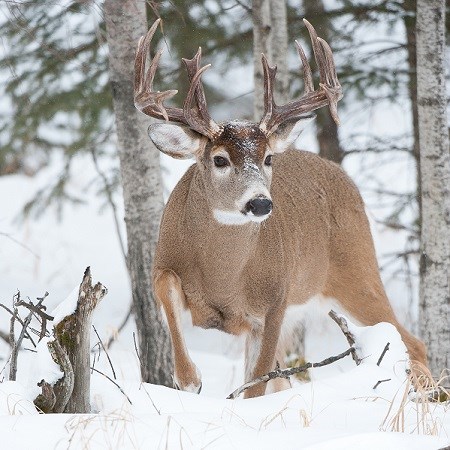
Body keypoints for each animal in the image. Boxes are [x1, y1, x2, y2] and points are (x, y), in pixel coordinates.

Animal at [134, 18, 428, 398]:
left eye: (269, 158)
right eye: (219, 159)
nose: (259, 202)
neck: (222, 278)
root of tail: (345, 179)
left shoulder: (275, 302)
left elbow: (256, 384)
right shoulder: (164, 262)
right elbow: (168, 295)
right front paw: (191, 378)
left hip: (357, 267)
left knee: (413, 342)